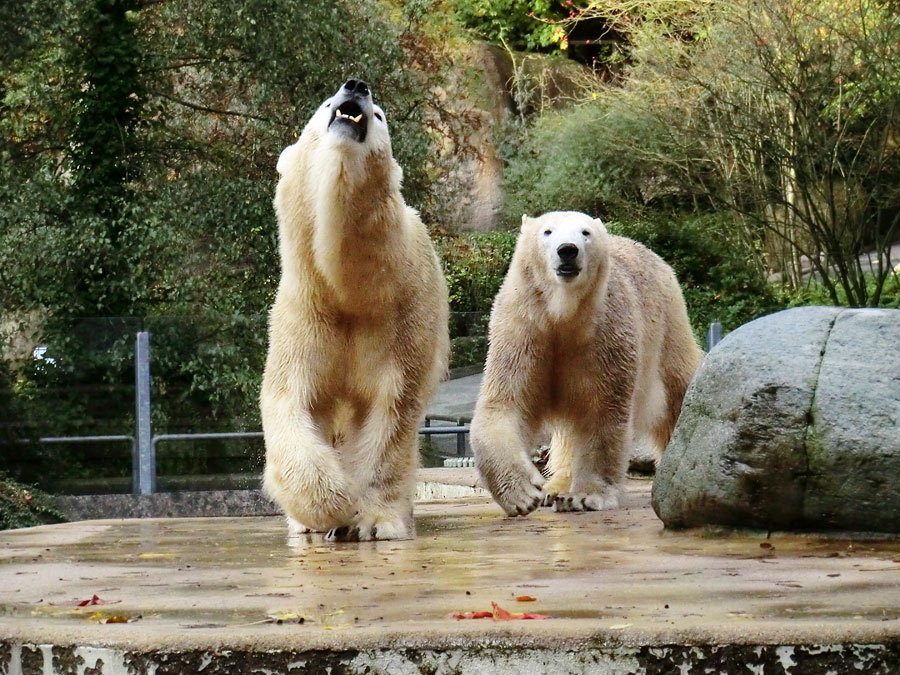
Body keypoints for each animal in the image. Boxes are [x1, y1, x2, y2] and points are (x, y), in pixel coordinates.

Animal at [260, 80, 450, 544]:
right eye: (326, 103)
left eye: (379, 115)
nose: (356, 86)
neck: (351, 292)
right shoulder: (305, 315)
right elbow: (289, 401)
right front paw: (331, 506)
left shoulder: (401, 318)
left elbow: (392, 412)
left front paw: (375, 519)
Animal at [472, 211, 704, 516]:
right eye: (547, 231)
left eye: (585, 232)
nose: (567, 250)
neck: (562, 316)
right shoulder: (522, 333)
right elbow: (505, 404)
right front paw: (523, 493)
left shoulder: (604, 335)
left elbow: (601, 412)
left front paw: (584, 496)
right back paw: (554, 487)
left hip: (667, 327)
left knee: (677, 389)